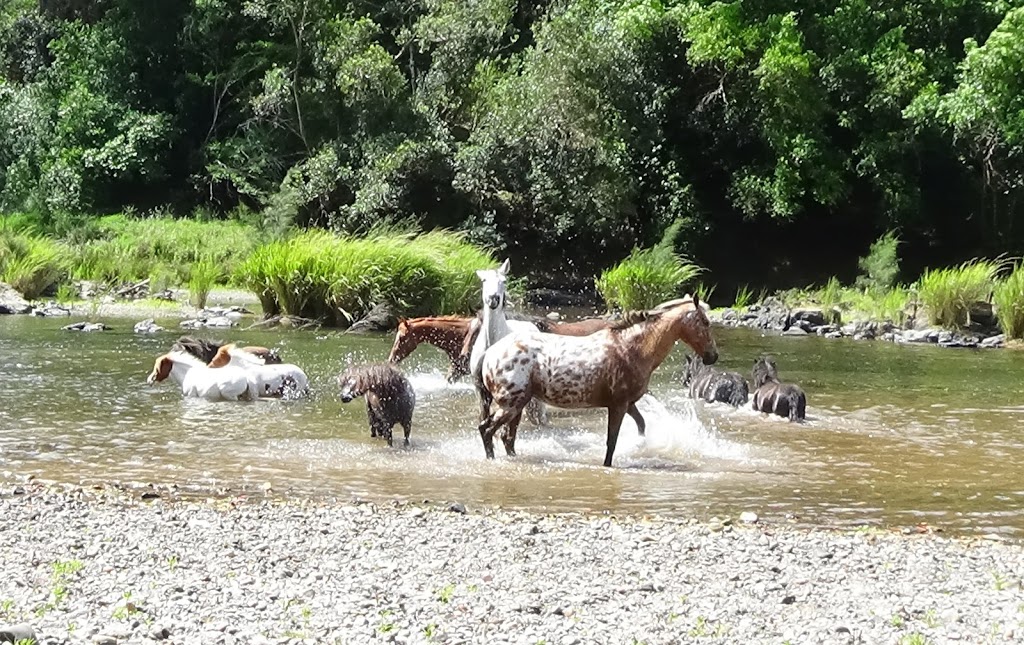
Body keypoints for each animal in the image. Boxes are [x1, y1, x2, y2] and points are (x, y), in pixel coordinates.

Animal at [475, 294, 716, 466]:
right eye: (705, 321)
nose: (713, 356)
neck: (632, 348)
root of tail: (490, 354)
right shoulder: (618, 406)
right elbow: (612, 441)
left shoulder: (628, 404)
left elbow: (641, 424)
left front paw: (640, 446)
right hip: (510, 405)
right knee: (486, 430)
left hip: (518, 406)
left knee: (507, 438)